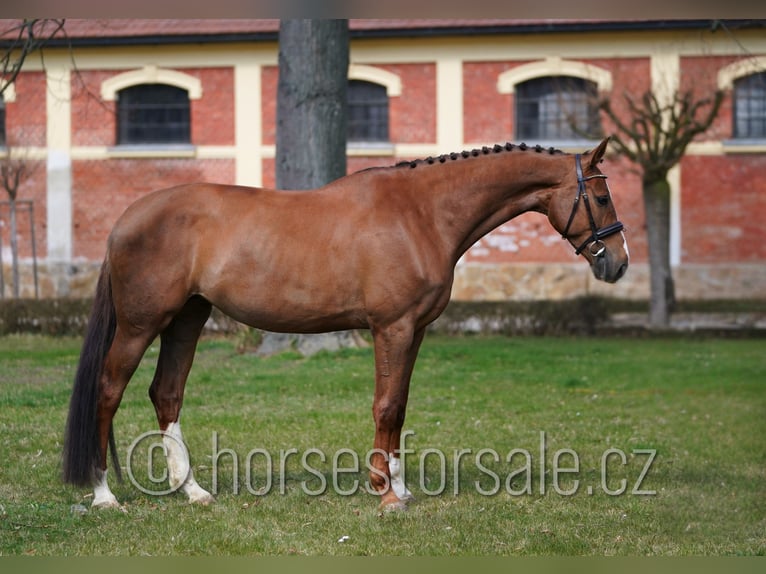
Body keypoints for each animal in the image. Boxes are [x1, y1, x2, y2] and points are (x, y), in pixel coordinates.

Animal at [62, 137, 628, 510]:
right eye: (601, 197)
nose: (618, 264)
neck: (421, 213)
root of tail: (127, 218)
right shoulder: (392, 327)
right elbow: (387, 405)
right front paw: (386, 495)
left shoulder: (415, 330)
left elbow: (400, 405)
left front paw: (400, 487)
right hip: (141, 324)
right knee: (109, 389)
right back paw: (104, 495)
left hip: (187, 318)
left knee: (166, 393)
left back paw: (193, 490)